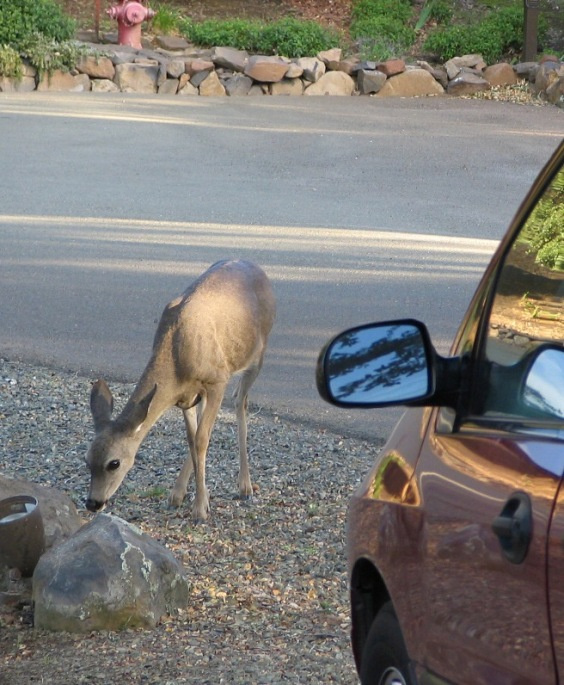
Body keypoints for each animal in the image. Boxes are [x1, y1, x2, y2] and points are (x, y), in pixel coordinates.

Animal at [85, 259, 276, 522]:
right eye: (87, 459)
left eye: (114, 463)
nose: (93, 503)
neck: (176, 357)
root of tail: (255, 266)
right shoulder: (186, 396)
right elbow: (192, 438)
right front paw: (185, 495)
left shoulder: (217, 380)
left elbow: (201, 439)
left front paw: (200, 509)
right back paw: (181, 492)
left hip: (257, 354)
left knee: (240, 401)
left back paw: (245, 486)